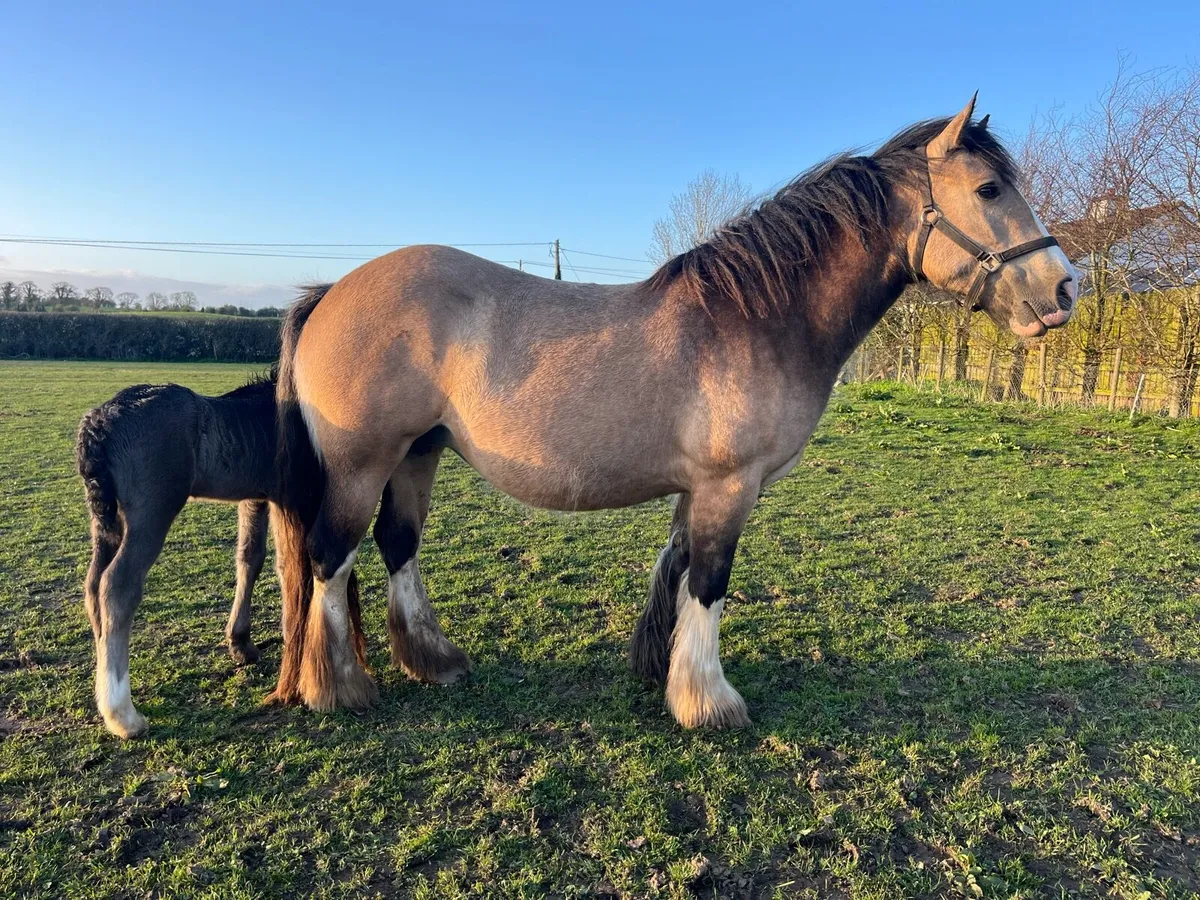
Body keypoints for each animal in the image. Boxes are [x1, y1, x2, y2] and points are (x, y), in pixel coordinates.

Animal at [270, 98, 1078, 729]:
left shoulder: (700, 490)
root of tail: (331, 292)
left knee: (396, 546)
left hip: (419, 453)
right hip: (364, 464)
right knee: (330, 556)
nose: (1066, 288)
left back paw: (433, 661)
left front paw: (661, 668)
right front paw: (709, 702)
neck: (755, 318)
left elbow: (680, 568)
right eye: (990, 188)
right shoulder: (729, 486)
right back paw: (339, 688)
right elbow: (710, 582)